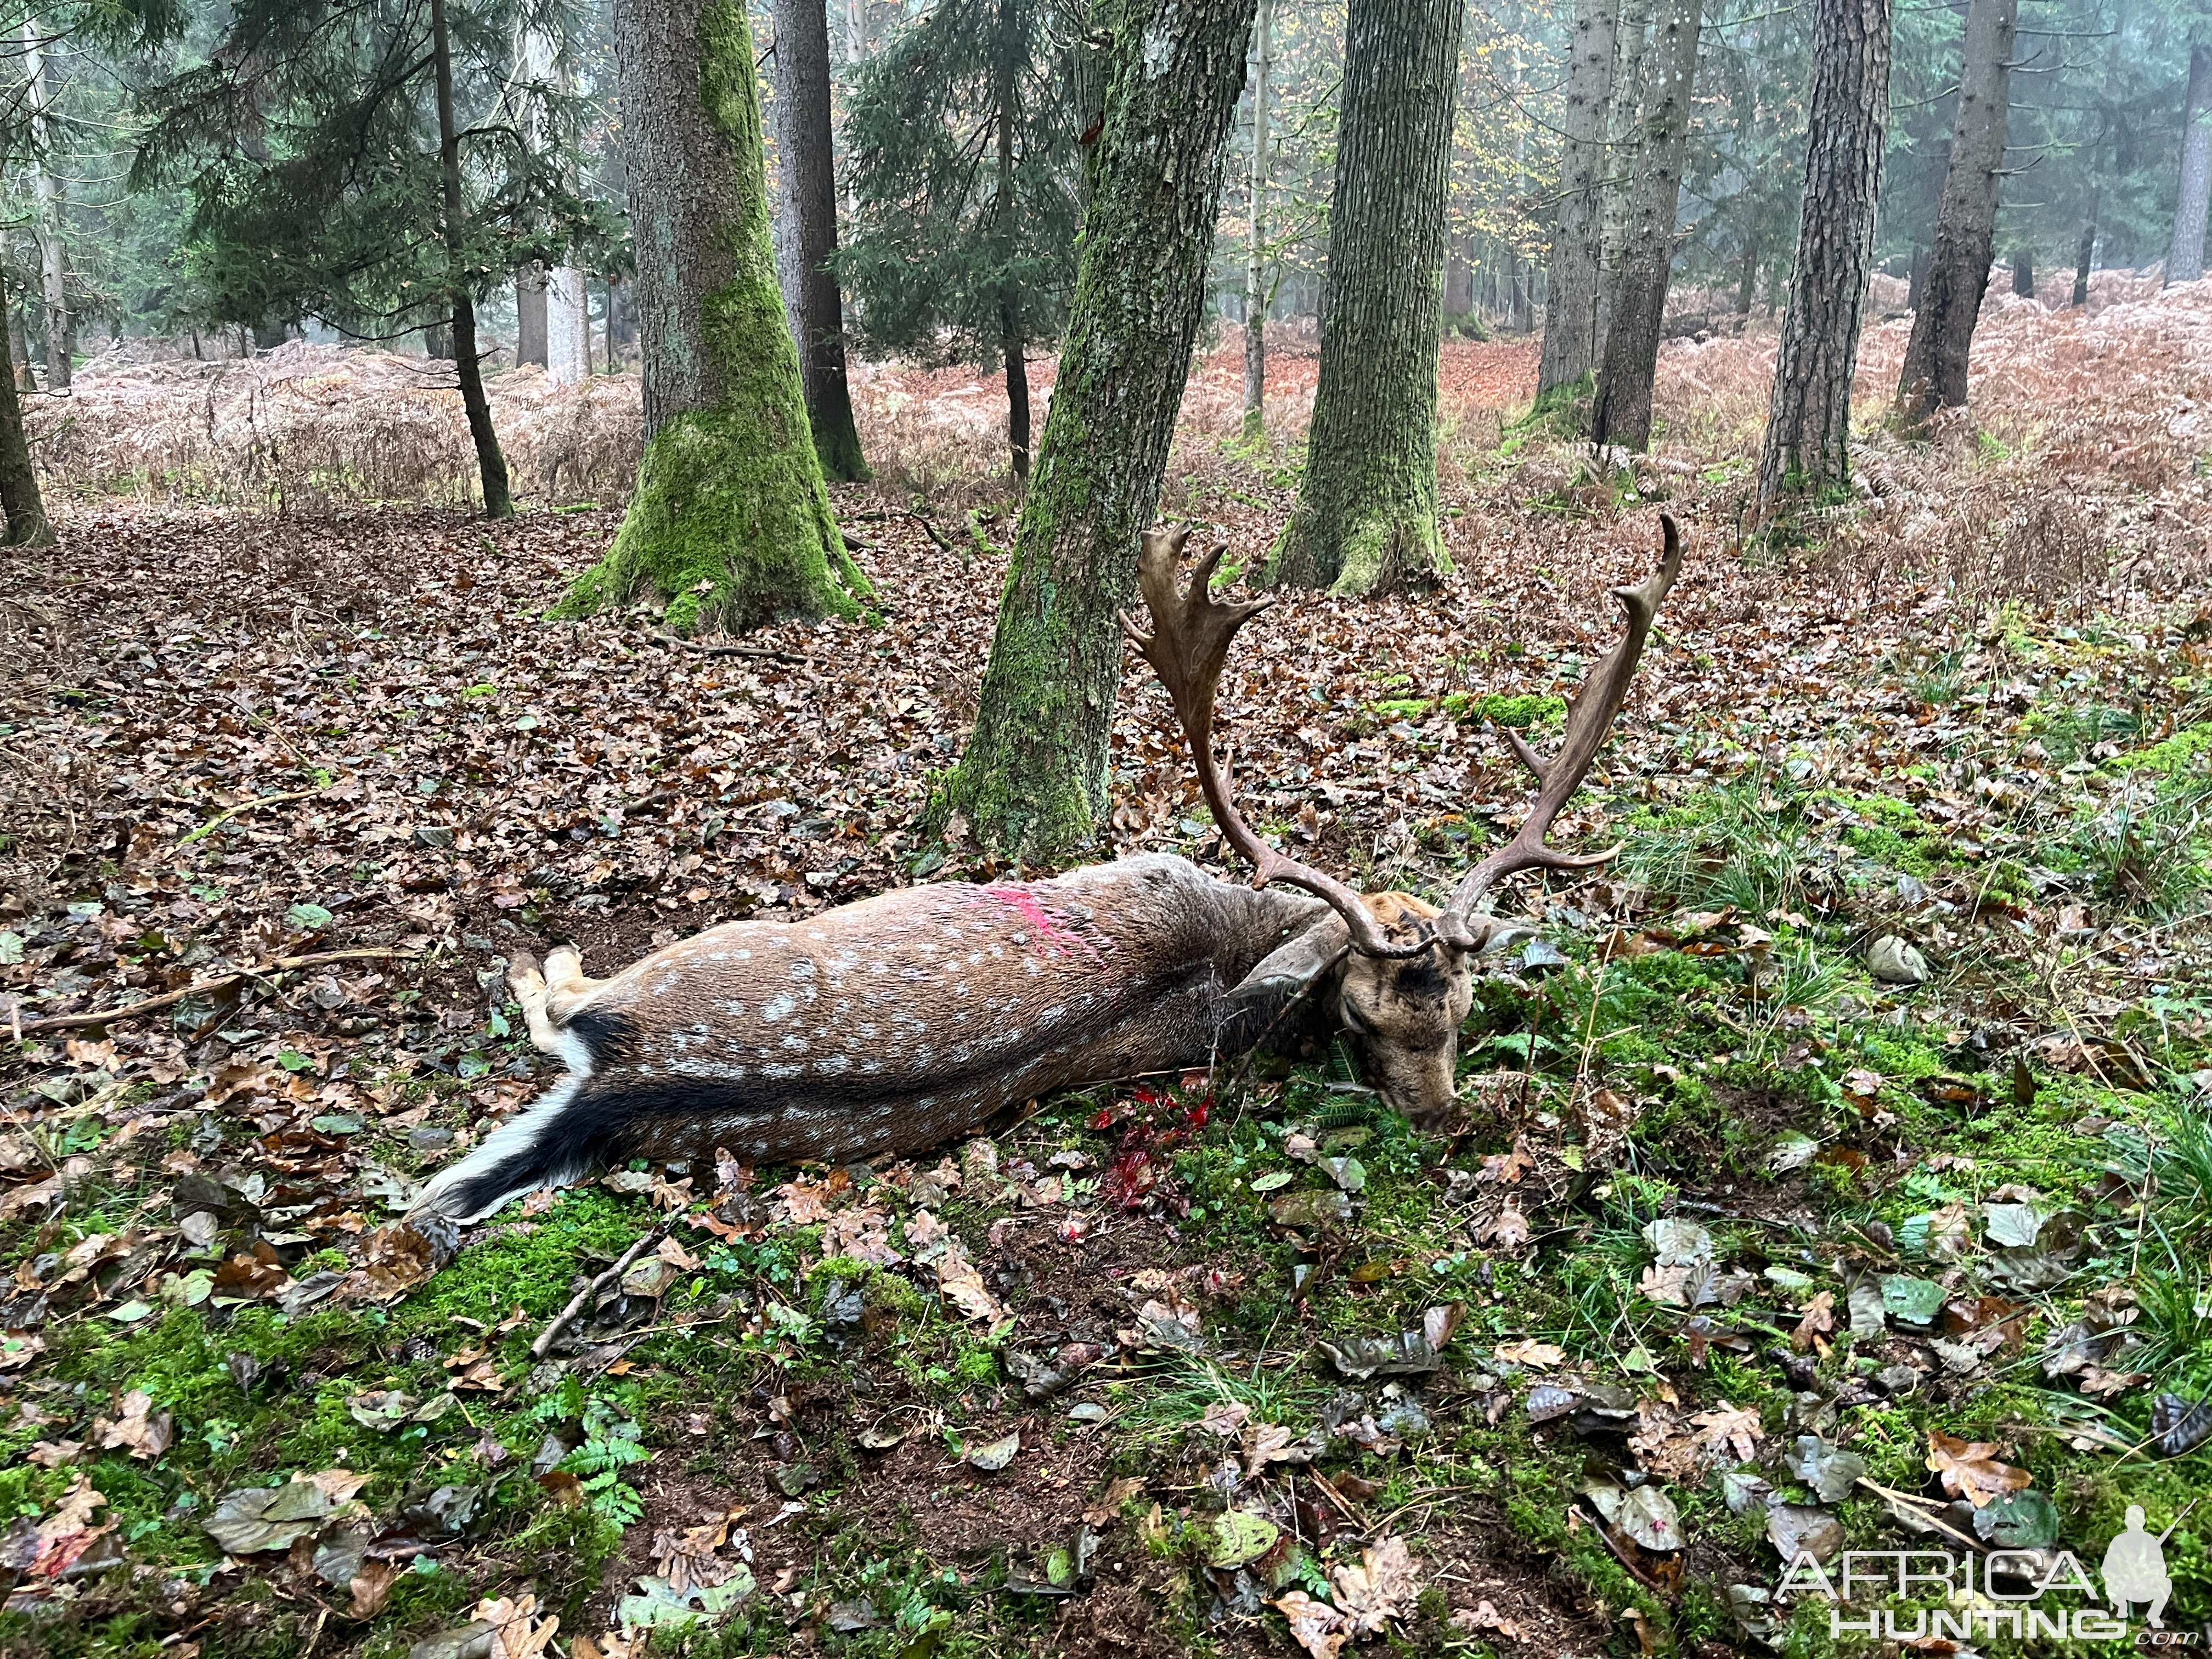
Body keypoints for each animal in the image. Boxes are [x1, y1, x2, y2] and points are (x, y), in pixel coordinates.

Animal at [418, 513, 1672, 1229]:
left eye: (1459, 1013)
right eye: (1368, 1019)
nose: (1441, 1119)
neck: (1244, 930)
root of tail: (622, 1086)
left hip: (689, 957)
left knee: (556, 1004)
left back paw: (547, 950)